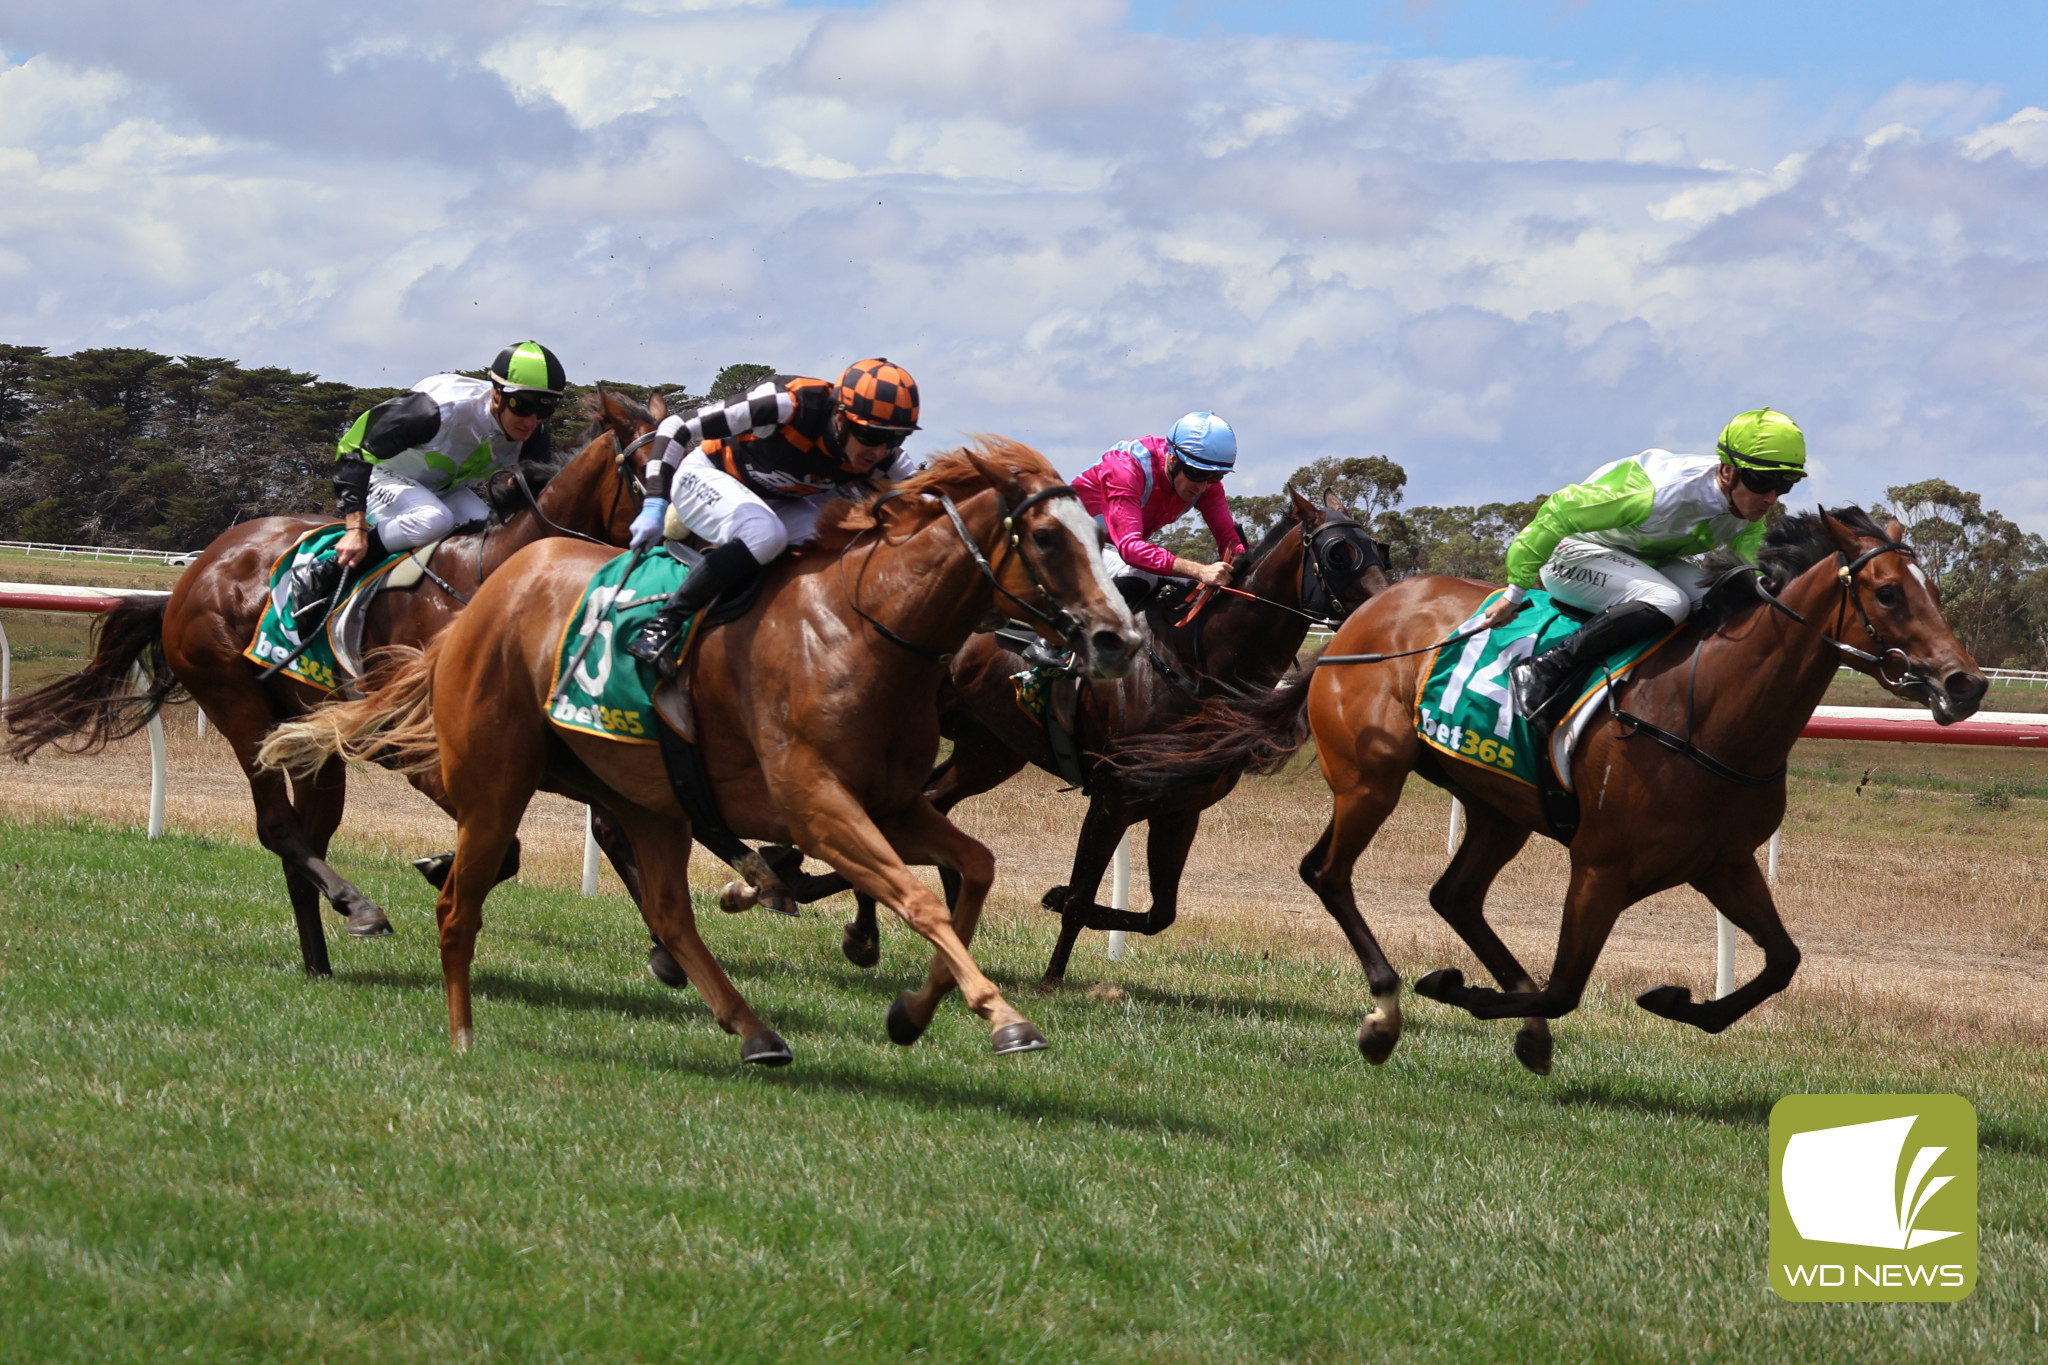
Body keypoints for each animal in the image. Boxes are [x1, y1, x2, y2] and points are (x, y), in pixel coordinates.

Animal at [4, 388, 659, 978]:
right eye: (654, 472)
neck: (495, 580)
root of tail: (194, 575)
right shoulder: (419, 750)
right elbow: (511, 846)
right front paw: (439, 867)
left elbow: (613, 827)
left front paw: (665, 949)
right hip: (237, 703)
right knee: (277, 829)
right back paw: (359, 907)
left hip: (310, 744)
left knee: (305, 841)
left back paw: (319, 962)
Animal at [256, 444, 1138, 1064]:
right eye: (1049, 537)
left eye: (1101, 534)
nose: (1119, 639)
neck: (865, 627)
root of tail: (482, 601)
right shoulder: (818, 808)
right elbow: (918, 899)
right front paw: (1006, 1018)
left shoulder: (891, 802)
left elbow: (975, 869)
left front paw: (911, 1012)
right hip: (498, 783)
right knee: (458, 903)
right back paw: (462, 1033)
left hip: (650, 798)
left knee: (669, 911)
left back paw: (754, 1030)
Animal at [835, 485, 1392, 986]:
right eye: (1339, 554)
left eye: (1378, 547)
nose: (1385, 610)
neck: (1192, 660)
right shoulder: (1113, 798)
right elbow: (1082, 897)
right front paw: (1052, 977)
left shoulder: (1179, 808)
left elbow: (1159, 913)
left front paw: (1054, 901)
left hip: (987, 753)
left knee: (925, 806)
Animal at [1122, 507, 1982, 1072]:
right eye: (1887, 593)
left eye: (1932, 589)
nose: (1964, 682)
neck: (1707, 705)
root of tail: (1359, 622)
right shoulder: (1601, 866)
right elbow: (1566, 986)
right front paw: (1459, 990)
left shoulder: (1724, 862)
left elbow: (1781, 961)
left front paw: (1675, 1002)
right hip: (1371, 778)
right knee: (1328, 873)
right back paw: (1388, 1009)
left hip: (1499, 805)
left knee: (1455, 895)